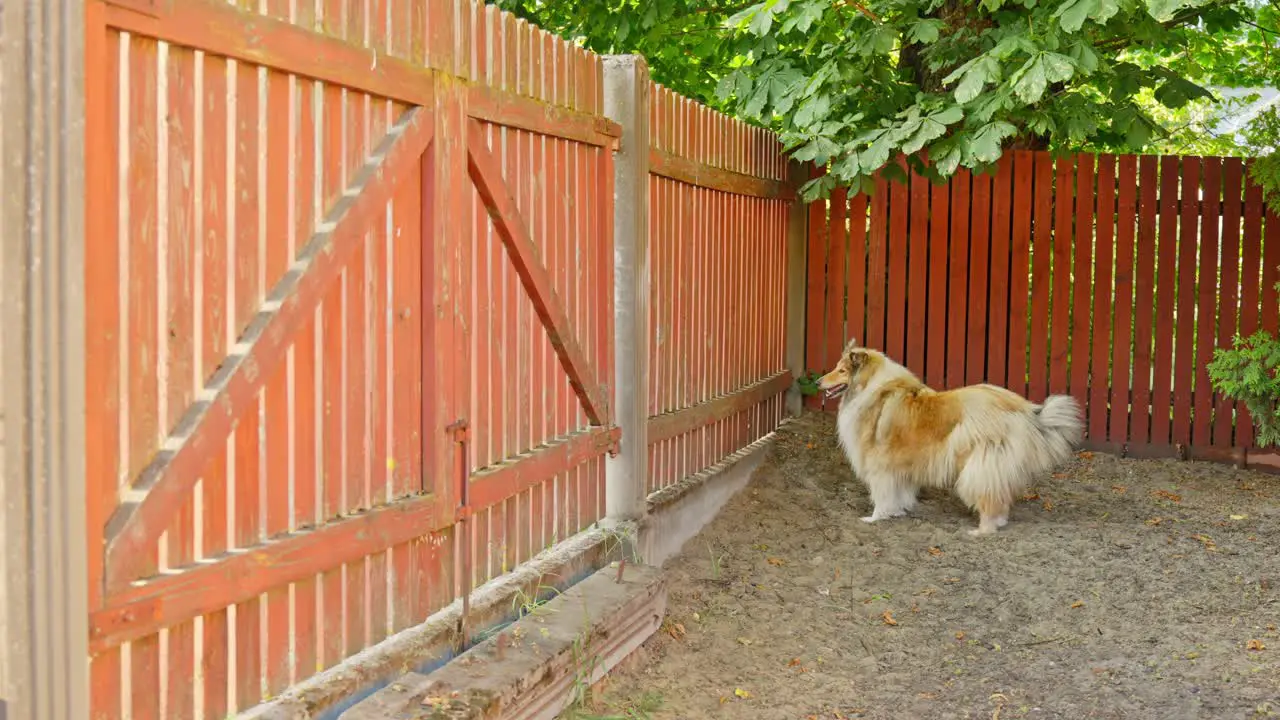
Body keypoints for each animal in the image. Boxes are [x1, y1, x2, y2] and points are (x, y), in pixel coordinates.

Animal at [819, 338, 1080, 532]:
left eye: (841, 370)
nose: (818, 381)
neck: (870, 387)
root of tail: (1022, 409)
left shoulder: (879, 462)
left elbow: (881, 493)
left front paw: (875, 518)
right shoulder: (900, 464)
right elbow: (900, 491)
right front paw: (898, 511)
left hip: (980, 465)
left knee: (989, 498)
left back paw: (982, 530)